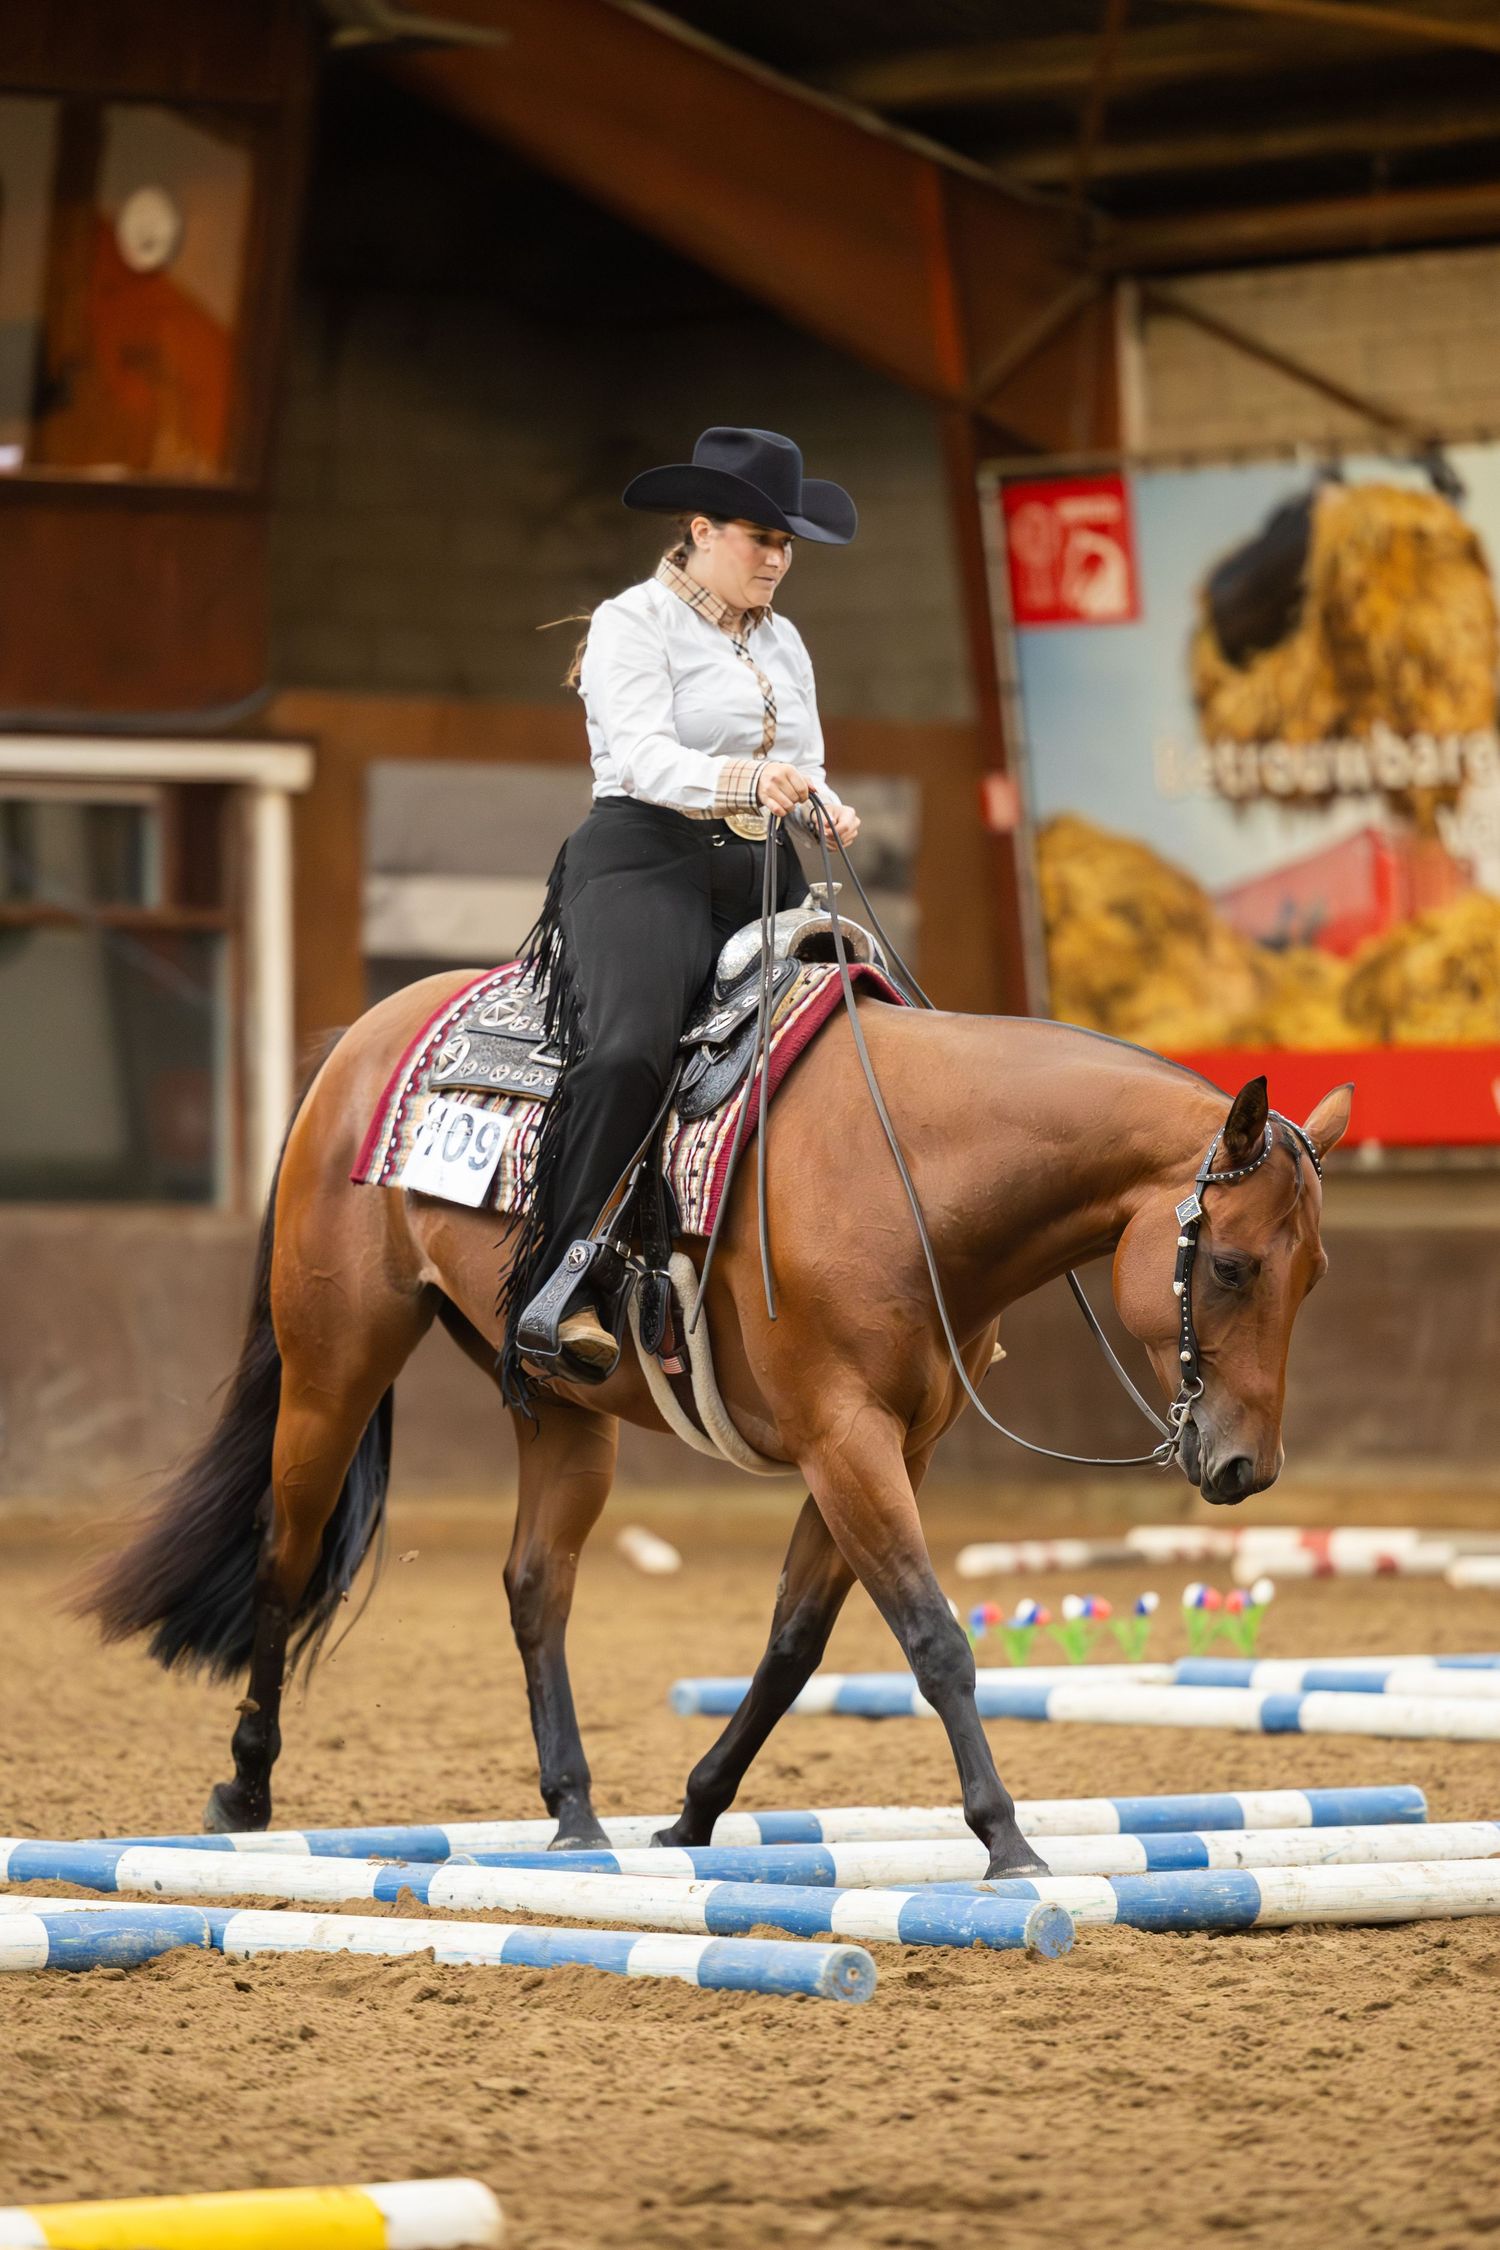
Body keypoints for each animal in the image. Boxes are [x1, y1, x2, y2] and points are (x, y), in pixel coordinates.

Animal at [79, 966, 1349, 1879]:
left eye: (1315, 1275)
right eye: (1232, 1266)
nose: (1246, 1468)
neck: (914, 1170)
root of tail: (362, 1038)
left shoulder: (888, 1450)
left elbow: (794, 1644)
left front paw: (691, 1817)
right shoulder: (846, 1441)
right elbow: (935, 1637)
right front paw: (1007, 1840)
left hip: (562, 1412)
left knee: (536, 1587)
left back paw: (577, 1814)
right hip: (333, 1367)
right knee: (286, 1558)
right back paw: (244, 1790)